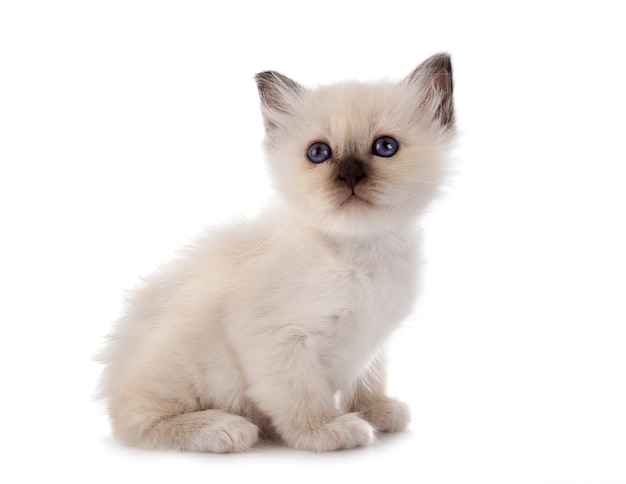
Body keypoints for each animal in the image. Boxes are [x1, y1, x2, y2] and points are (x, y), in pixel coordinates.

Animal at [97, 54, 456, 454]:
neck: (358, 256)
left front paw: (376, 411)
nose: (349, 175)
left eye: (385, 147)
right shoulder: (276, 340)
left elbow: (369, 378)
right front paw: (326, 430)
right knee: (132, 417)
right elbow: (300, 397)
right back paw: (223, 429)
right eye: (319, 153)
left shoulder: (373, 337)